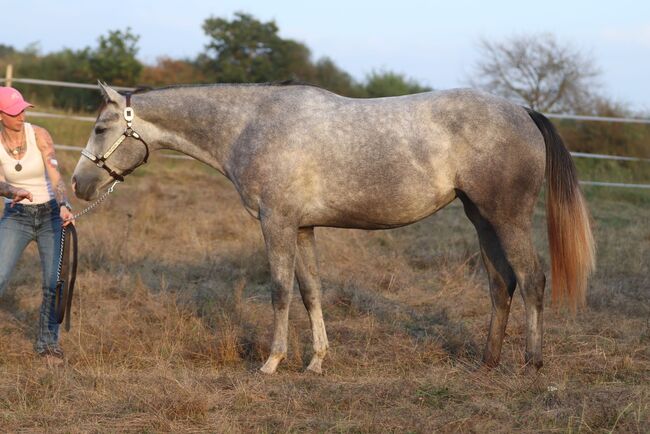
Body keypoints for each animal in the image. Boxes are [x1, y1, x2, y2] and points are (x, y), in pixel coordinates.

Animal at [71, 83, 592, 374]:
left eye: (99, 128)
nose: (78, 184)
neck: (251, 125)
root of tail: (523, 111)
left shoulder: (277, 223)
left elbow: (280, 290)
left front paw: (272, 362)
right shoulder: (303, 228)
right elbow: (311, 291)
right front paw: (317, 361)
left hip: (507, 217)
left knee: (532, 279)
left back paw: (531, 364)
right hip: (480, 218)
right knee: (501, 283)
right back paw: (486, 362)